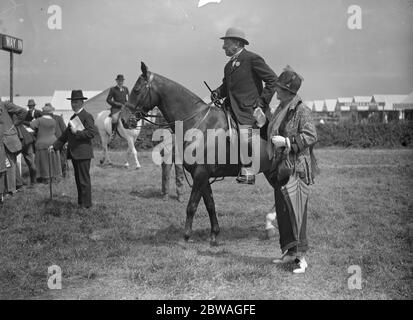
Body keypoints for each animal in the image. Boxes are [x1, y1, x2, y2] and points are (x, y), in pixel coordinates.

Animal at [128, 62, 276, 246]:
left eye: (136, 90)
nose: (126, 119)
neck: (198, 123)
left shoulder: (200, 174)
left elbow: (191, 206)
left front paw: (186, 236)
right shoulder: (202, 175)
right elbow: (210, 204)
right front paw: (214, 234)